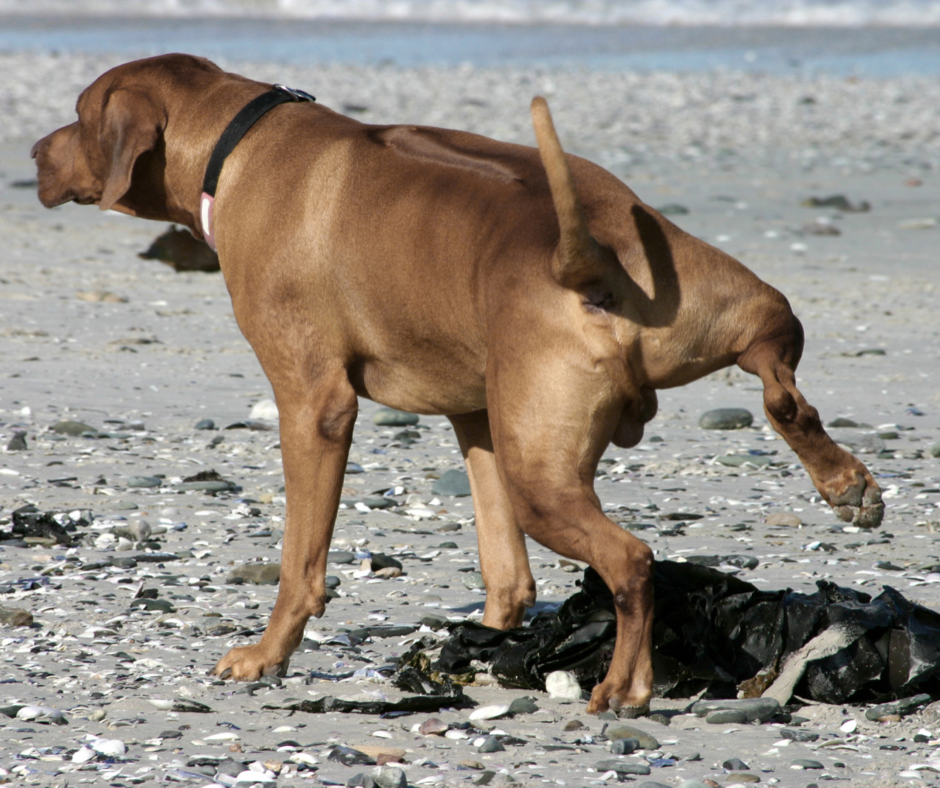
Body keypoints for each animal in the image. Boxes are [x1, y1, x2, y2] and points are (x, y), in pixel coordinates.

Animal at [33, 53, 884, 716]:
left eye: (77, 113)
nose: (36, 152)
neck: (238, 142)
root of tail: (590, 259)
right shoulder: (477, 416)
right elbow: (505, 569)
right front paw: (493, 634)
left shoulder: (313, 403)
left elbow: (302, 560)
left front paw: (267, 653)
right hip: (729, 307)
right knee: (780, 379)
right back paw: (844, 481)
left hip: (542, 476)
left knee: (633, 561)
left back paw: (624, 686)